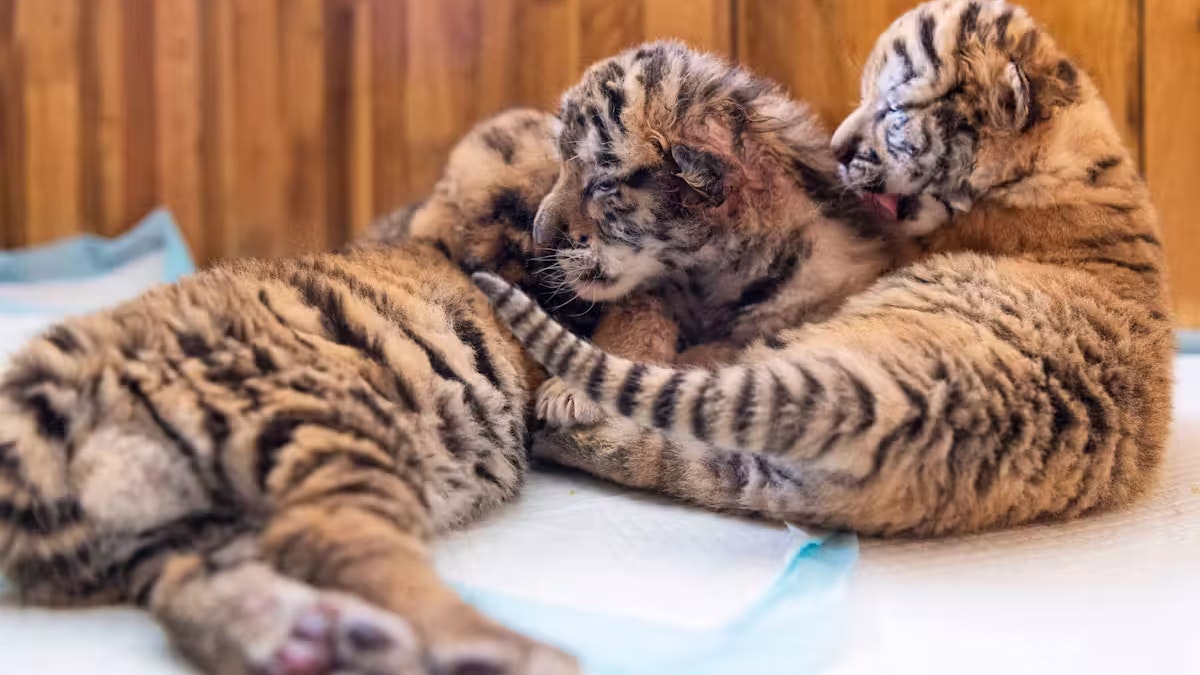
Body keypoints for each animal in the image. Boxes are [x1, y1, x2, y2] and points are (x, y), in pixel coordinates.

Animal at [0, 108, 582, 675]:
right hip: (323, 429)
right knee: (329, 538)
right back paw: (504, 652)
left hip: (169, 529)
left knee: (187, 586)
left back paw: (315, 640)